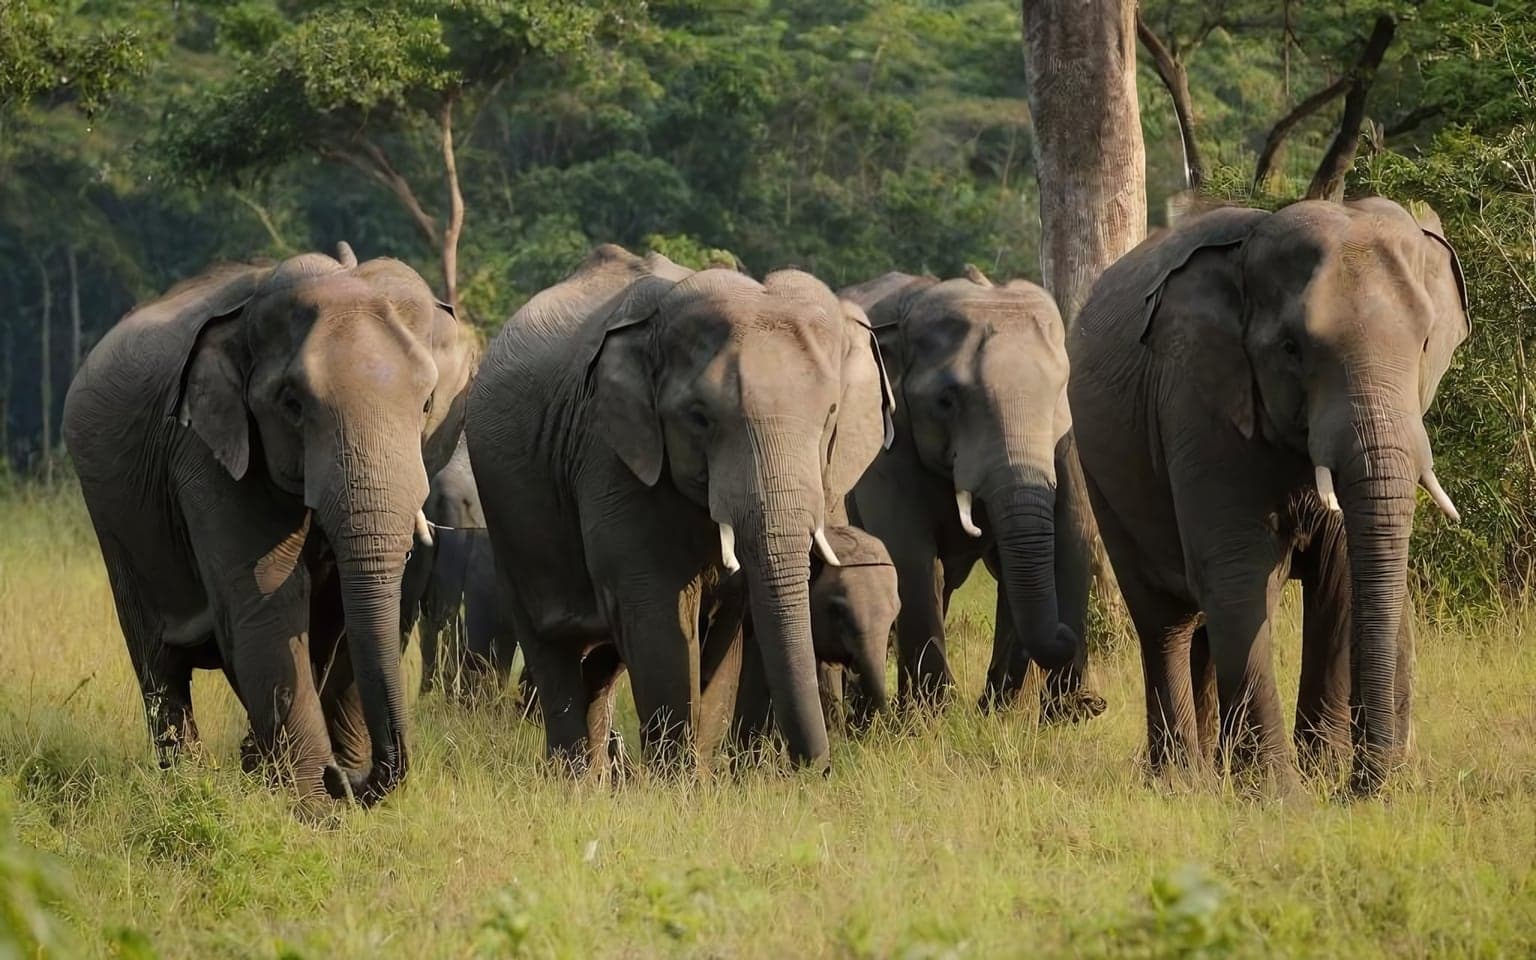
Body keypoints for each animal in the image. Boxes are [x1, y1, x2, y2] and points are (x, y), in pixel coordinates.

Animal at [63, 245, 476, 806]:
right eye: (293, 406)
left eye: (429, 403)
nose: (347, 780)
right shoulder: (206, 452)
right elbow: (265, 605)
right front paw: (312, 805)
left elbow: (350, 614)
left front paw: (312, 779)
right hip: (112, 516)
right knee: (156, 656)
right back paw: (188, 783)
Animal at [466, 244, 893, 773]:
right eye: (700, 418)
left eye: (831, 415)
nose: (818, 768)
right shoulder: (611, 458)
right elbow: (657, 617)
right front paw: (675, 782)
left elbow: (726, 627)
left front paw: (700, 777)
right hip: (507, 518)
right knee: (553, 650)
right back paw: (572, 778)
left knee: (600, 665)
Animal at [841, 267, 1104, 722]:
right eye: (947, 401)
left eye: (1058, 392)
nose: (1065, 634)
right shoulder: (887, 442)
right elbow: (908, 552)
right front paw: (933, 719)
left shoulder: (1068, 437)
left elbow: (1071, 532)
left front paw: (1037, 714)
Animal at [1068, 198, 1468, 793]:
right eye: (1291, 348)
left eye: (1424, 343)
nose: (1366, 787)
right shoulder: (1198, 404)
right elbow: (1240, 571)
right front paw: (1280, 796)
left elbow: (1340, 577)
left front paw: (1322, 776)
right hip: (1102, 472)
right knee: (1166, 619)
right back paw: (1180, 780)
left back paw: (1213, 772)